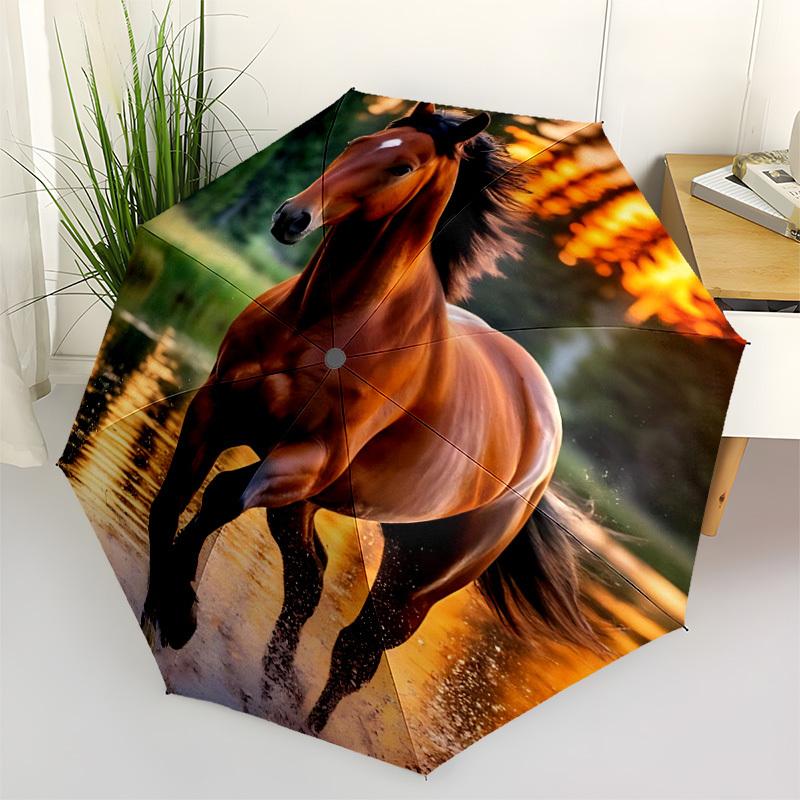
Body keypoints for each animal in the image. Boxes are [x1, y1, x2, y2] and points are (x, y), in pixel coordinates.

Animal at [140, 101, 602, 734]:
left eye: (402, 166)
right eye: (357, 142)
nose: (292, 217)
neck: (322, 329)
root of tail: (545, 425)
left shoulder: (307, 458)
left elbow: (218, 496)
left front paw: (180, 615)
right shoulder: (214, 411)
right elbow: (169, 503)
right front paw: (158, 610)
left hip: (417, 580)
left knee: (356, 650)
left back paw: (305, 718)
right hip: (309, 511)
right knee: (307, 586)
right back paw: (273, 688)